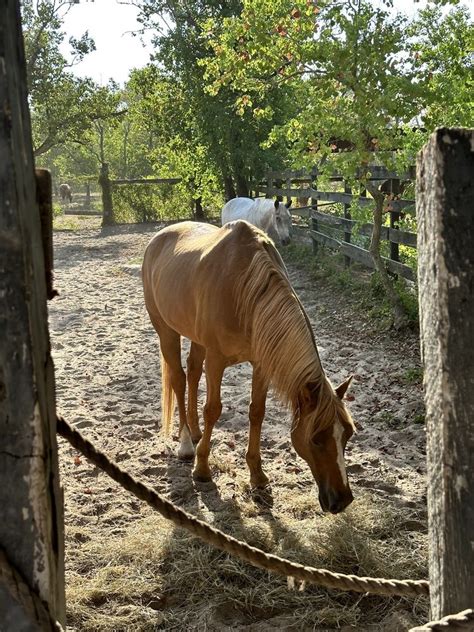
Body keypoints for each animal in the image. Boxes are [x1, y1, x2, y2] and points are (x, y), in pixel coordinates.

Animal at [143, 220, 354, 512]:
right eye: (316, 439)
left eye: (348, 434)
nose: (343, 500)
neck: (243, 290)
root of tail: (158, 238)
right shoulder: (216, 360)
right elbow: (213, 409)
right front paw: (202, 468)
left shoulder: (261, 364)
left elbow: (257, 412)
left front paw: (257, 474)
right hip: (166, 331)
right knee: (178, 378)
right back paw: (186, 444)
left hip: (196, 340)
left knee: (193, 372)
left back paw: (195, 433)